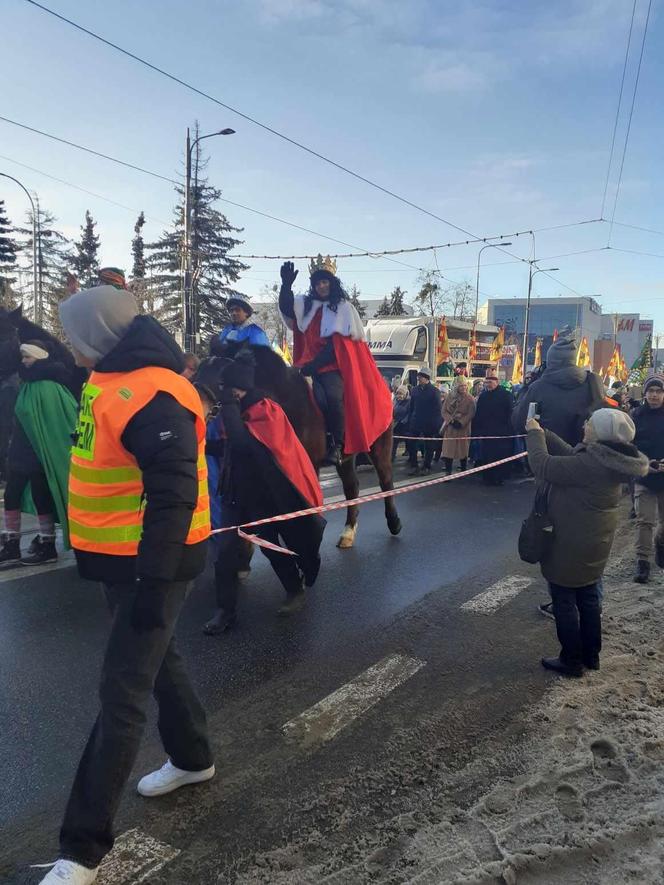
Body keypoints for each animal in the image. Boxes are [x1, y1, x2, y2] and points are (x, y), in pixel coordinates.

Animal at [197, 344, 402, 544]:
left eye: (221, 379)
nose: (198, 408)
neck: (285, 399)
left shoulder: (308, 464)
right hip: (346, 457)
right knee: (352, 487)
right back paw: (348, 532)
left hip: (379, 446)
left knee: (385, 479)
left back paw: (394, 522)